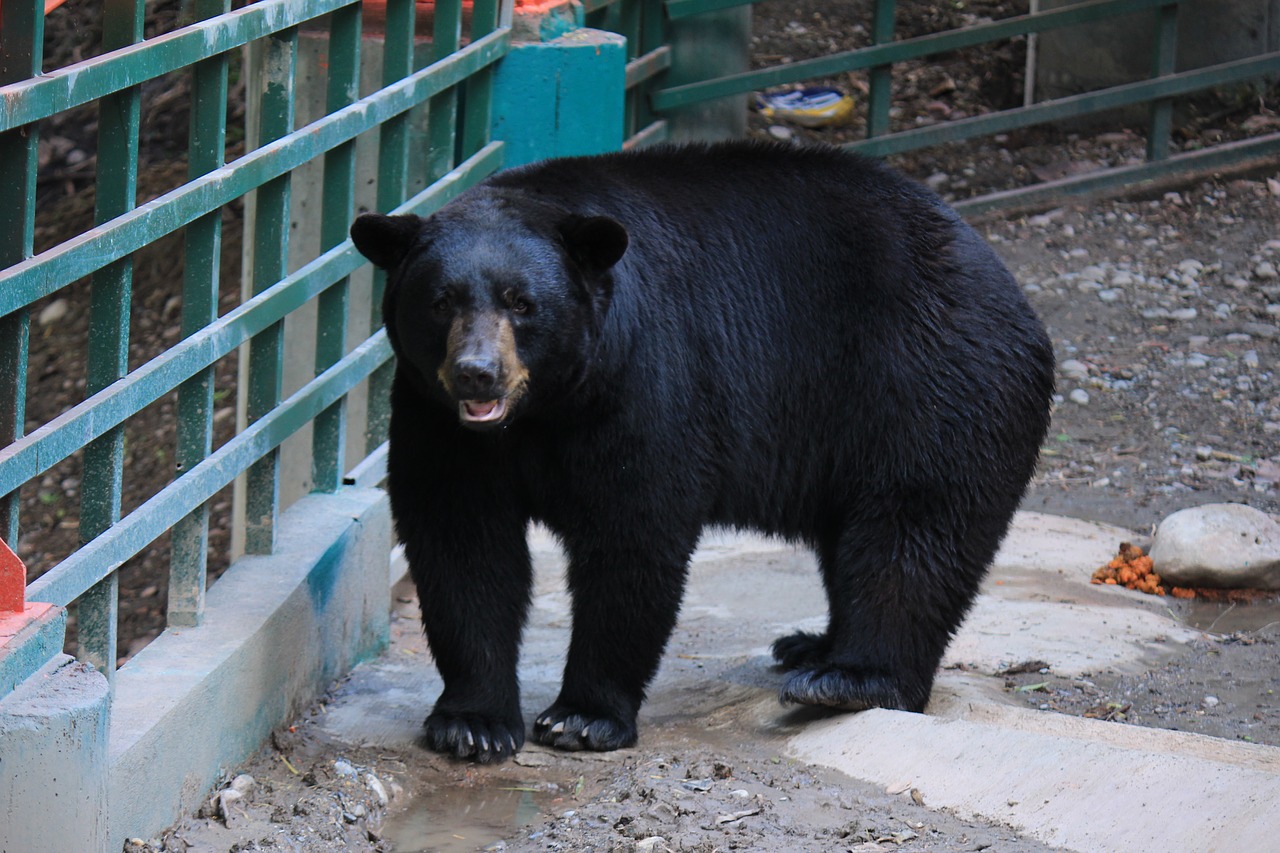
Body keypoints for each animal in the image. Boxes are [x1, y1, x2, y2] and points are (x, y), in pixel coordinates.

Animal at [348, 139, 1049, 763]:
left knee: (916, 524)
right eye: (440, 301)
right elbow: (462, 540)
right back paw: (813, 647)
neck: (540, 411)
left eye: (522, 303)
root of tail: (1005, 282)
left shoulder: (644, 374)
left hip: (930, 377)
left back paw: (850, 678)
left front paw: (584, 716)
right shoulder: (434, 415)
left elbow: (633, 530)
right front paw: (474, 723)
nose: (477, 374)